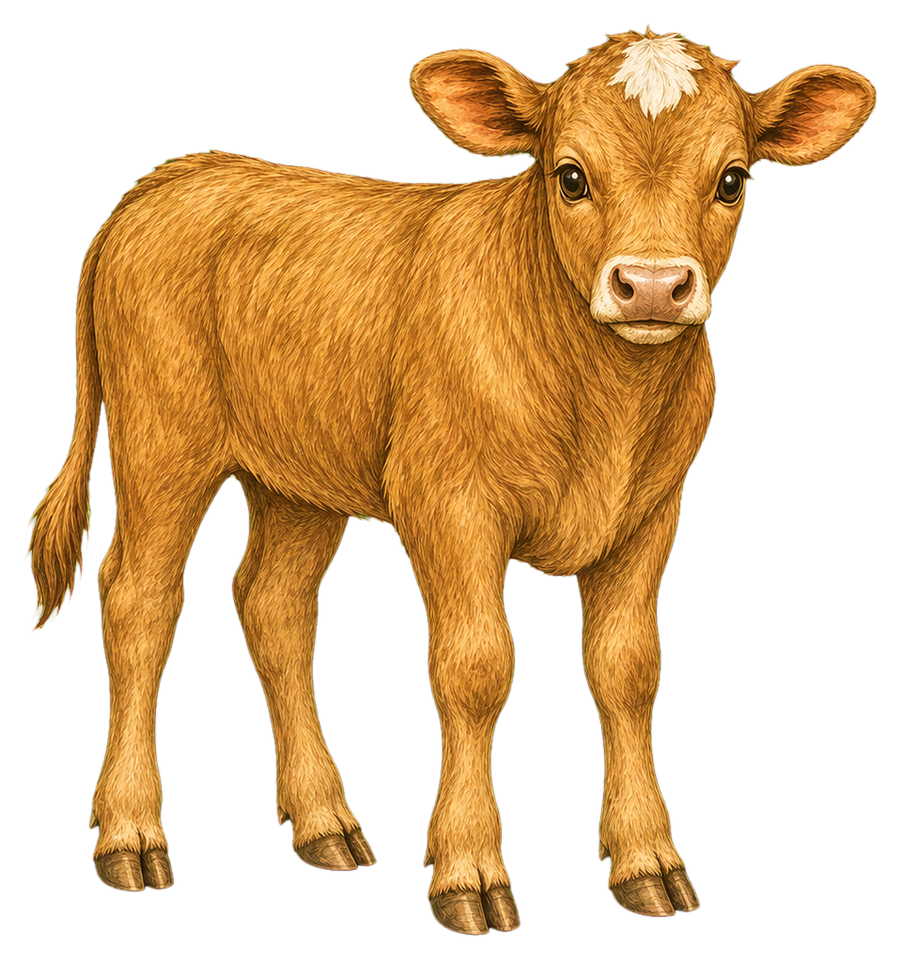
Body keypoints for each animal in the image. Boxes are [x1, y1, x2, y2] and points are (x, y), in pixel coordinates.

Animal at [26, 27, 876, 933]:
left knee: (274, 606)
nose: (651, 285)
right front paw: (469, 872)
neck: (606, 405)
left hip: (297, 483)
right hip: (162, 442)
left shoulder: (651, 512)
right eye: (568, 175)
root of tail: (178, 174)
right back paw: (130, 837)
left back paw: (326, 825)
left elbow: (627, 668)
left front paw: (648, 861)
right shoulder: (448, 500)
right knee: (140, 602)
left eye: (731, 179)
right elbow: (475, 667)